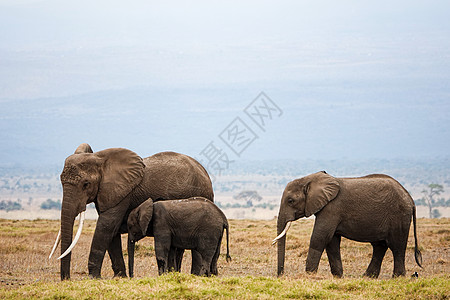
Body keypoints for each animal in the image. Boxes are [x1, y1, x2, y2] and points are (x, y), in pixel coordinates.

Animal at [48, 144, 214, 280]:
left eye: (86, 184)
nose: (66, 279)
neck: (100, 160)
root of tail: (205, 172)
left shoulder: (122, 193)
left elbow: (106, 226)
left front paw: (94, 278)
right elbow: (111, 232)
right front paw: (119, 277)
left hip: (201, 194)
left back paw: (196, 276)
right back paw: (178, 273)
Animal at [272, 171, 424, 278]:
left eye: (290, 201)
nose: (281, 275)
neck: (311, 179)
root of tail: (410, 198)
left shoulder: (332, 208)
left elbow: (320, 237)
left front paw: (309, 274)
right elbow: (332, 241)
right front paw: (338, 276)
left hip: (399, 216)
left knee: (397, 247)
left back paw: (397, 277)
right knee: (380, 246)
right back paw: (367, 277)